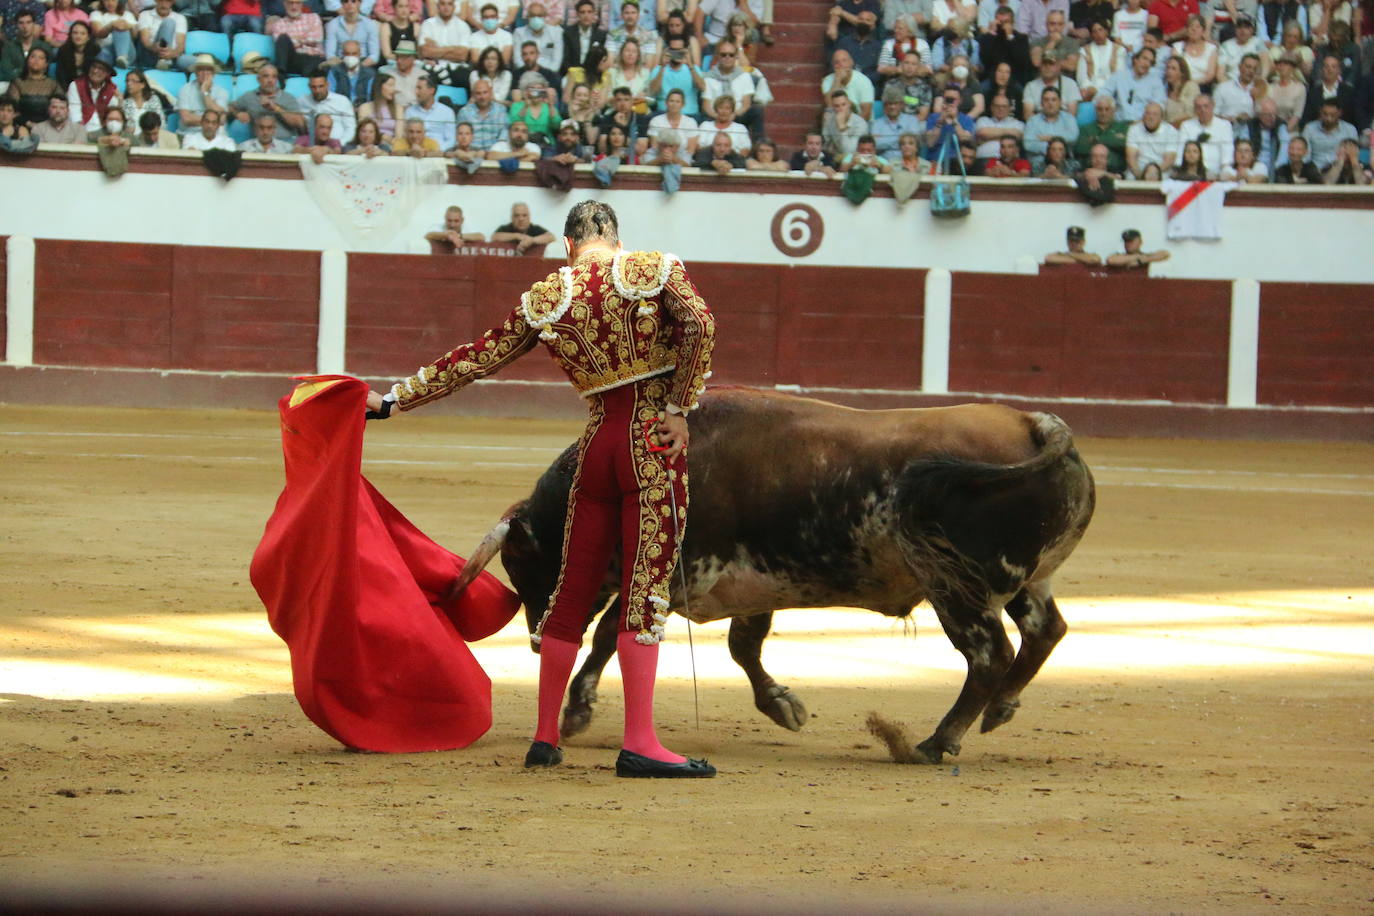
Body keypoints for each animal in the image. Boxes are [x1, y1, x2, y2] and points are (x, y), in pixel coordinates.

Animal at [456, 390, 1099, 769]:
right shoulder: (750, 585)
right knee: (1045, 631)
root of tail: (1037, 424)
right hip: (1025, 581)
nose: (535, 638)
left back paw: (934, 743)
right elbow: (744, 647)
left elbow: (611, 633)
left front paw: (577, 711)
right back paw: (999, 709)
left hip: (955, 588)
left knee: (990, 654)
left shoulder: (678, 577)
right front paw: (785, 705)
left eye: (526, 561)